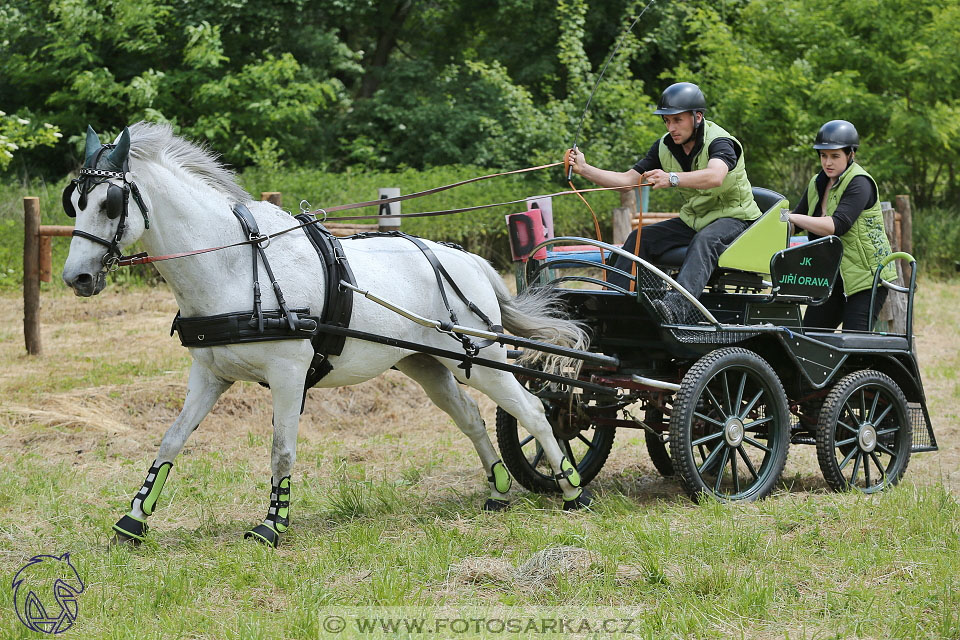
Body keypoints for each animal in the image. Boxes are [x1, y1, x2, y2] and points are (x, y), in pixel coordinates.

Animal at [62, 122, 592, 548]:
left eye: (110, 204)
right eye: (75, 202)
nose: (76, 278)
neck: (234, 265)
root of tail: (467, 259)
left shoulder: (288, 373)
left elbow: (281, 450)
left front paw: (272, 525)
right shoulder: (210, 374)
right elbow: (171, 439)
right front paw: (133, 519)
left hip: (481, 359)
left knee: (532, 410)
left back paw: (571, 489)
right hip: (425, 364)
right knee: (470, 418)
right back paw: (498, 490)